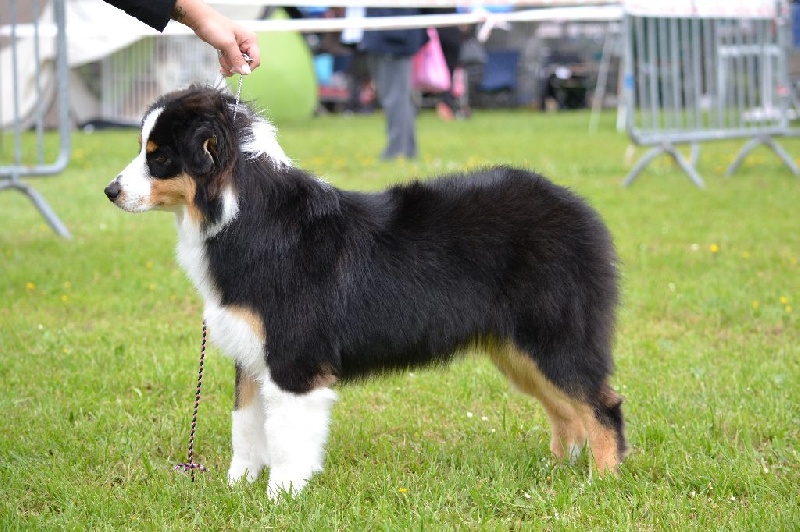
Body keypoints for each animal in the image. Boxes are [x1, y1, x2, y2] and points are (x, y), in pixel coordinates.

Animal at [104, 85, 628, 498]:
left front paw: (281, 497)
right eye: (143, 148)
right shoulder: (251, 356)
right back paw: (554, 472)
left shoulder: (294, 358)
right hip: (517, 349)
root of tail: (579, 207)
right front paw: (236, 489)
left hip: (554, 336)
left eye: (159, 157)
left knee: (601, 406)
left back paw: (602, 483)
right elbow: (246, 431)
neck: (242, 217)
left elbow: (287, 437)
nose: (110, 191)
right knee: (566, 412)